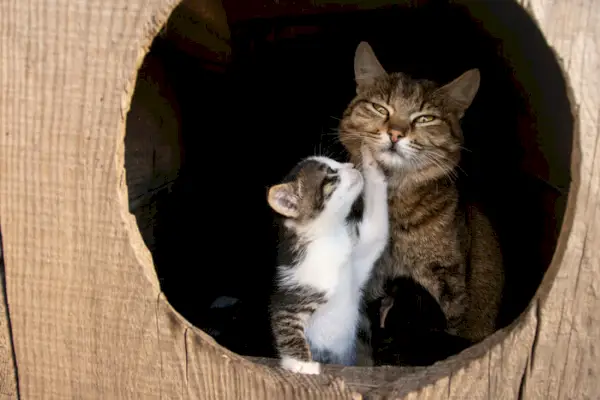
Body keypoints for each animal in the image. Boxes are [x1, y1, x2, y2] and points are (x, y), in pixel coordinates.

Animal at [268, 147, 390, 376]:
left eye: (338, 162)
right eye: (331, 175)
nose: (351, 165)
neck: (329, 238)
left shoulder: (359, 253)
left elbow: (378, 228)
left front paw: (370, 160)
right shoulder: (288, 298)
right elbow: (287, 327)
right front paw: (301, 364)